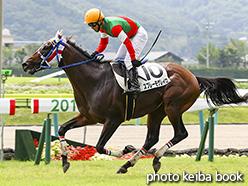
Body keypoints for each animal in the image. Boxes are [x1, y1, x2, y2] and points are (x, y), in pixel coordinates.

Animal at [22, 30, 247, 174]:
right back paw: (128, 164)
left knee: (180, 133)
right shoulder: (88, 116)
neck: (94, 80)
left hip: (172, 107)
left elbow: (99, 147)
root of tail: (193, 76)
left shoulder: (113, 119)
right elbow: (62, 129)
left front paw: (125, 149)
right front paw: (65, 162)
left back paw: (151, 158)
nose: (25, 63)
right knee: (151, 138)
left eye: (47, 46)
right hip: (156, 111)